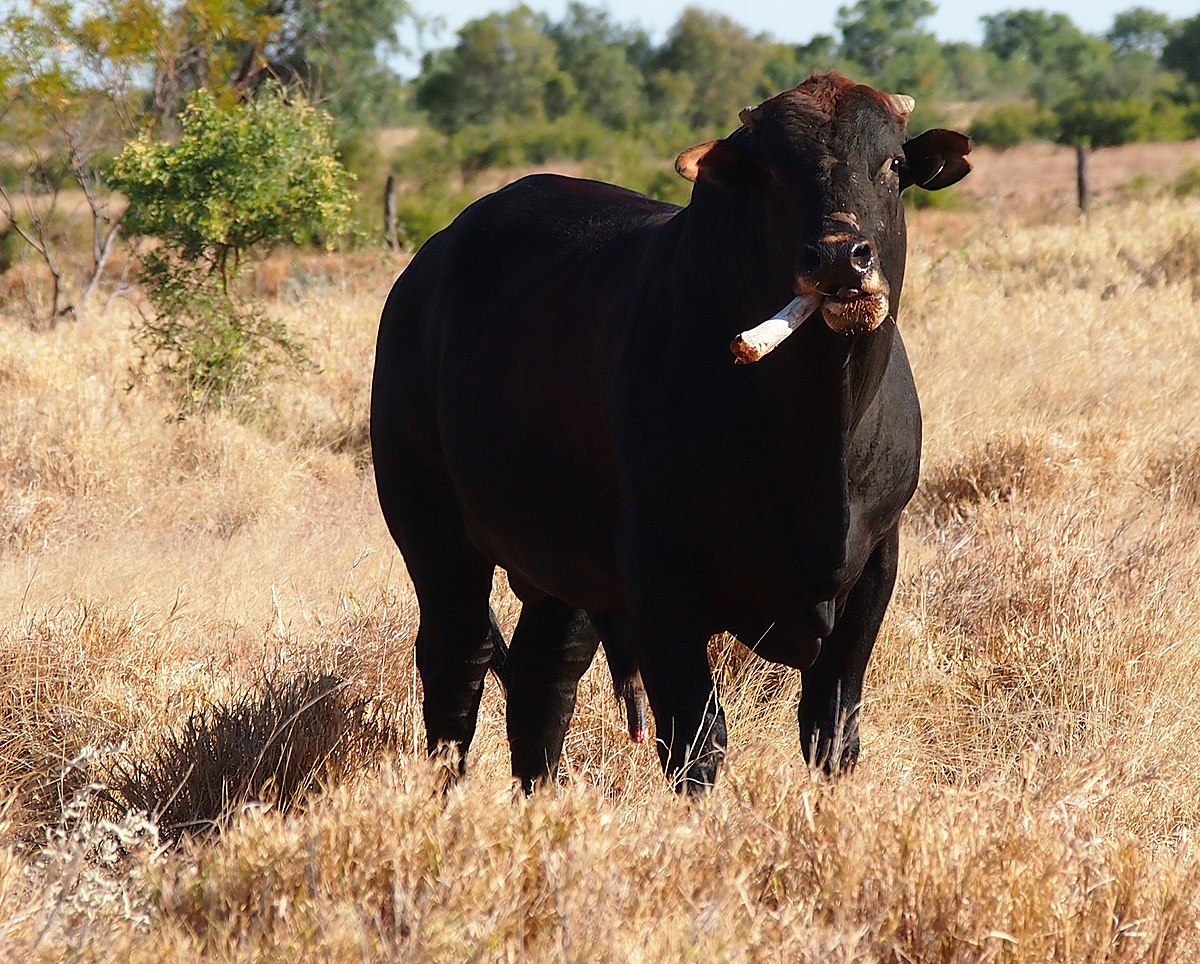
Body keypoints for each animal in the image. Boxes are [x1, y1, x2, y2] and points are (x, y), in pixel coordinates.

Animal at [369, 73, 969, 792]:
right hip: (432, 529)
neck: (819, 436)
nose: (837, 260)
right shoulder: (662, 582)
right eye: (770, 171)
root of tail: (424, 269)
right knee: (457, 662)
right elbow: (697, 743)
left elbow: (832, 731)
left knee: (545, 678)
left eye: (894, 165)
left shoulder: (875, 563)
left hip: (560, 562)